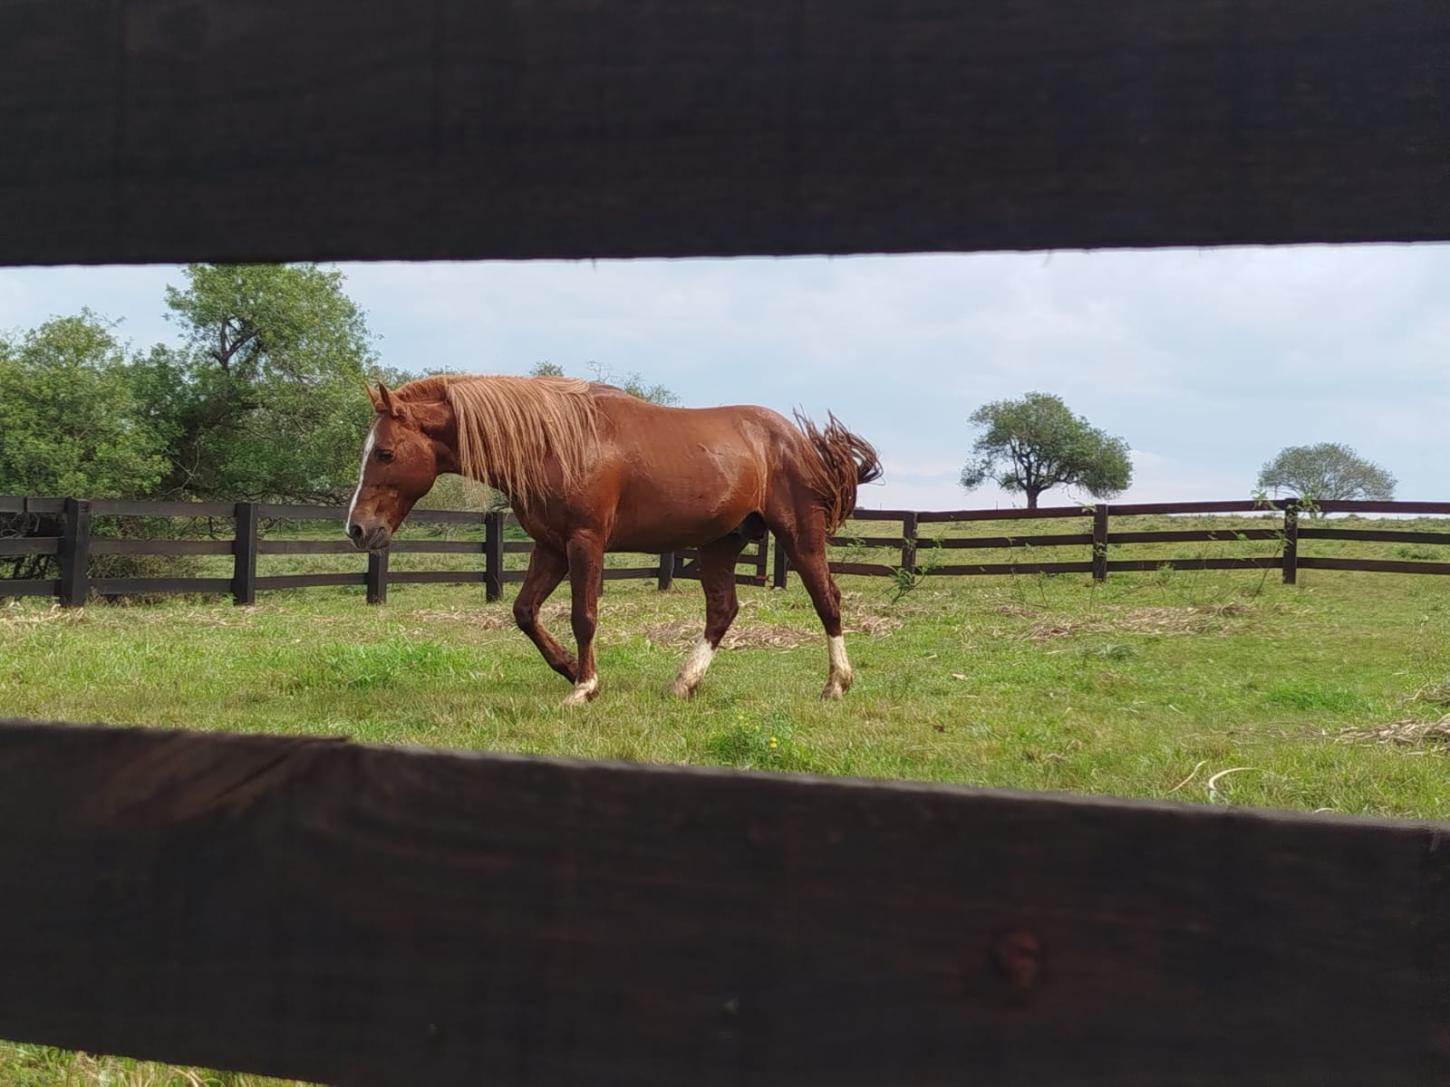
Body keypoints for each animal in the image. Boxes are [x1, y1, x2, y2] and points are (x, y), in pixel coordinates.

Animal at [345, 374, 882, 706]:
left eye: (386, 452)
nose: (357, 528)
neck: (556, 441)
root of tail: (796, 440)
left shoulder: (585, 542)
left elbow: (583, 616)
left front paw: (583, 687)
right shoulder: (551, 546)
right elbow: (524, 612)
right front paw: (566, 667)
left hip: (800, 536)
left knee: (827, 600)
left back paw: (836, 684)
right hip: (719, 544)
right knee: (722, 610)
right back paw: (683, 683)